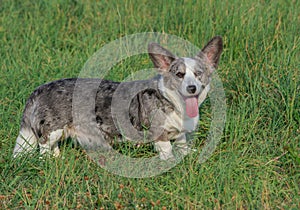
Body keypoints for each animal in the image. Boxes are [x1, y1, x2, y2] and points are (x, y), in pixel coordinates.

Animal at [12, 36, 223, 161]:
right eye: (179, 74)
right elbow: (167, 151)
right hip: (52, 130)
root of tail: (38, 90)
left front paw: (187, 155)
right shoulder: (160, 135)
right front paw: (171, 162)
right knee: (43, 146)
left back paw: (58, 158)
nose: (191, 88)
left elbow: (182, 144)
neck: (173, 101)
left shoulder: (179, 134)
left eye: (198, 74)